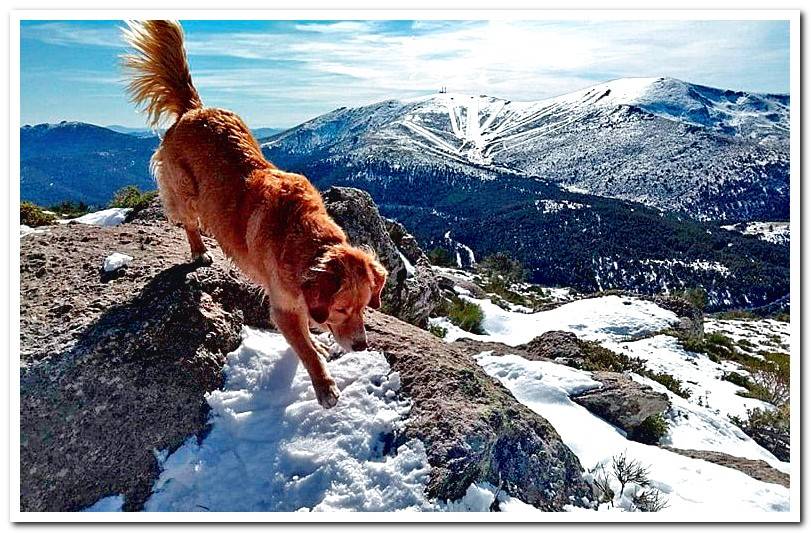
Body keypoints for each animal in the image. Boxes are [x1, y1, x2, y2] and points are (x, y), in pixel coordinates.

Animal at [121, 19, 390, 408]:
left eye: (364, 307)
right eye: (341, 309)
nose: (361, 346)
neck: (304, 237)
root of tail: (194, 109)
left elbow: (308, 334)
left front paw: (319, 343)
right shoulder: (282, 308)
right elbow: (304, 350)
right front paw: (324, 385)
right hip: (185, 191)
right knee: (188, 221)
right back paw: (199, 250)